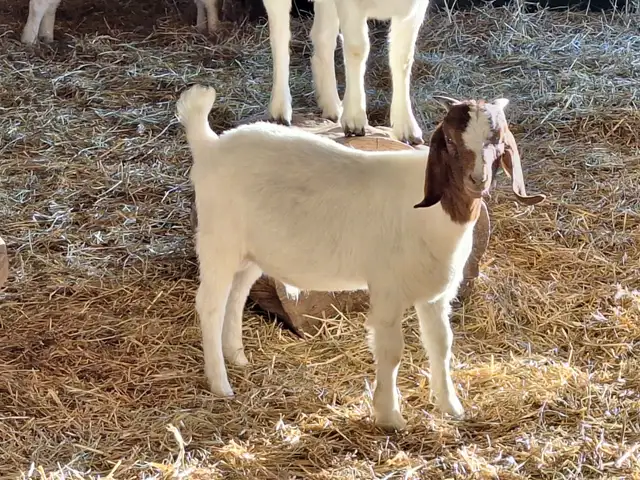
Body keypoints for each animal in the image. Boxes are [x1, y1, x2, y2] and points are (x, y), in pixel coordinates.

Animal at [176, 84, 546, 431]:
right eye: (452, 143)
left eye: (498, 142)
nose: (477, 180)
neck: (433, 212)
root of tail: (209, 145)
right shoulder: (387, 288)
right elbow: (392, 351)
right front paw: (389, 415)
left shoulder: (435, 294)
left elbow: (441, 345)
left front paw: (451, 407)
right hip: (218, 241)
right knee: (210, 305)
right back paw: (220, 383)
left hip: (249, 251)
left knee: (237, 296)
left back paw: (236, 357)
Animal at [262, 0, 430, 145]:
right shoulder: (350, 5)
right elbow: (357, 49)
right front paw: (354, 119)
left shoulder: (415, 8)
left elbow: (403, 58)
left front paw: (407, 127)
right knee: (280, 36)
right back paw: (279, 110)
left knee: (323, 37)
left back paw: (332, 106)